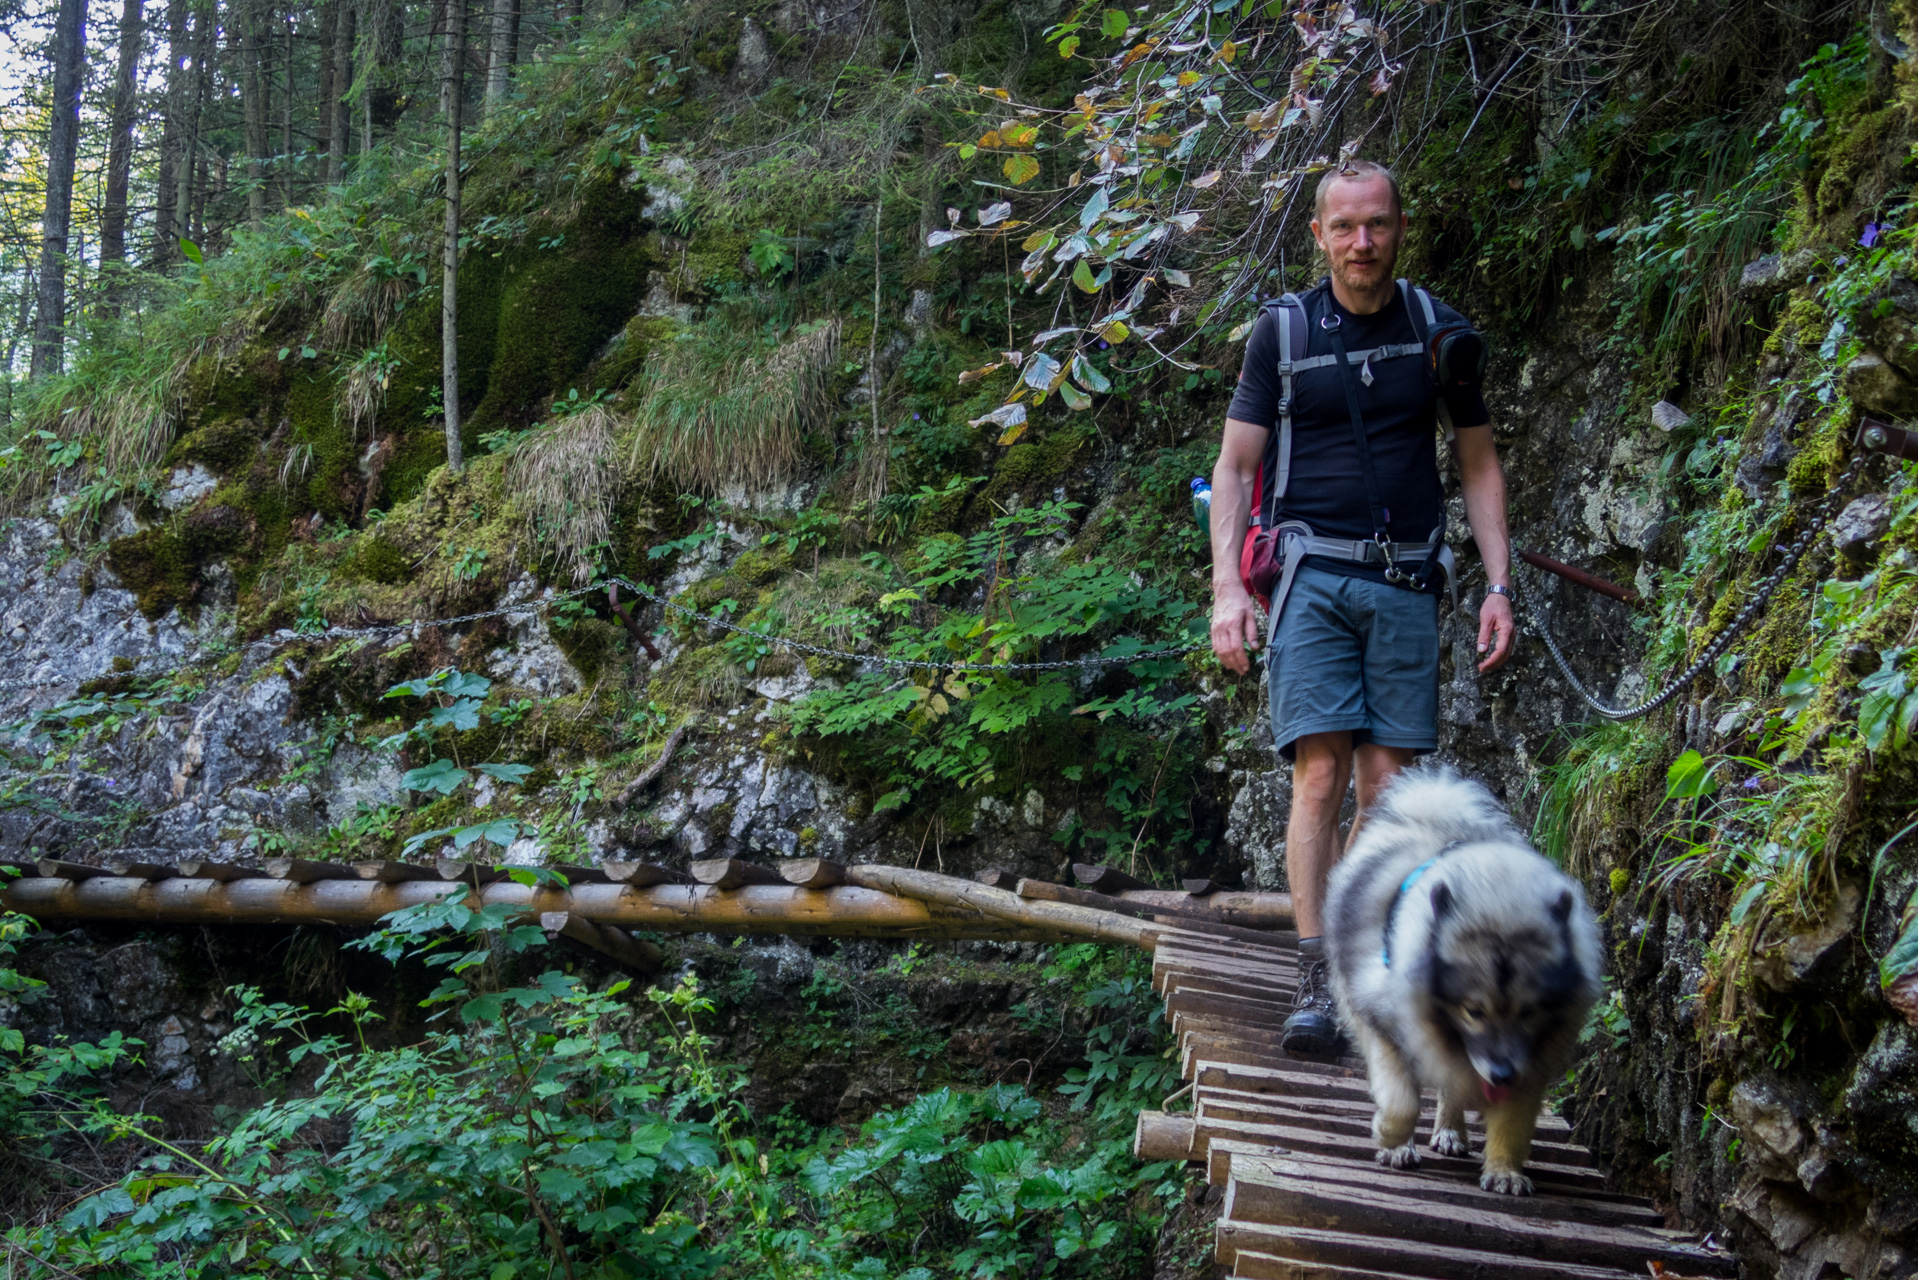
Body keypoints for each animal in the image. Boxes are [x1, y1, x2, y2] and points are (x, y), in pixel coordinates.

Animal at [1319, 771, 1603, 1205]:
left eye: (1529, 1011)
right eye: (1474, 1011)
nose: (1501, 1074)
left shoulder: (1530, 1061)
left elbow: (1512, 1123)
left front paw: (1504, 1171)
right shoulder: (1386, 1024)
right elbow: (1401, 1102)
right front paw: (1390, 1139)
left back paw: (1451, 1131)